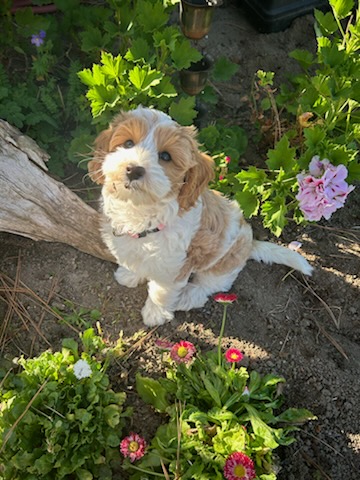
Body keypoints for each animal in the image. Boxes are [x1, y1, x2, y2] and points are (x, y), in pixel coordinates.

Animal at [88, 106, 312, 326]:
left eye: (166, 156)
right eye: (128, 143)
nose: (134, 169)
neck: (142, 212)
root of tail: (250, 243)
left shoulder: (175, 266)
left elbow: (162, 291)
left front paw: (155, 313)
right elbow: (133, 260)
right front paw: (130, 274)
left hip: (222, 264)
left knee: (207, 288)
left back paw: (186, 297)